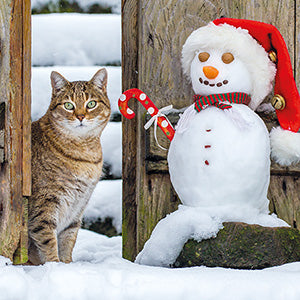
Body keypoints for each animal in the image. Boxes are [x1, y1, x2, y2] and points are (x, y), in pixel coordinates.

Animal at [28, 68, 110, 264]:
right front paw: (55, 266)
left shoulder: (78, 207)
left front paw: (67, 265)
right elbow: (47, 239)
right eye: (68, 105)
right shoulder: (45, 203)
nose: (80, 116)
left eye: (91, 104)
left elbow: (68, 238)